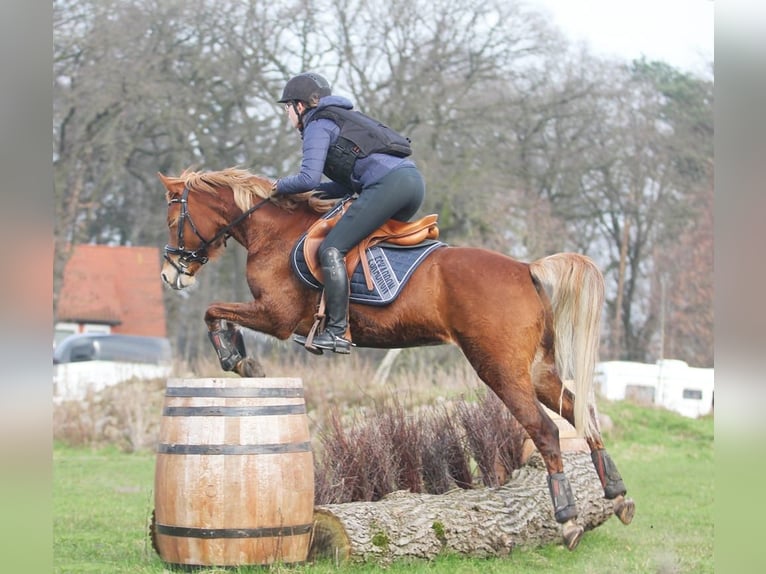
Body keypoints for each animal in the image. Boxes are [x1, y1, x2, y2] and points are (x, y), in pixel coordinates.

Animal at [158, 168, 636, 552]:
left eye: (173, 220)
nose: (169, 274)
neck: (274, 231)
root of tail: (526, 269)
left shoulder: (276, 317)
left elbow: (213, 310)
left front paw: (237, 359)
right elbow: (216, 312)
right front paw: (240, 358)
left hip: (500, 370)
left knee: (546, 431)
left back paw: (568, 518)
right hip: (537, 370)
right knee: (581, 413)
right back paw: (616, 493)